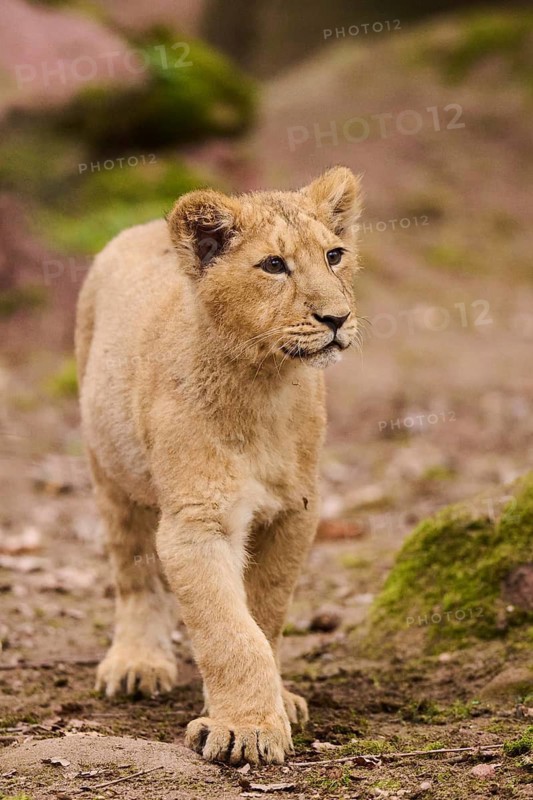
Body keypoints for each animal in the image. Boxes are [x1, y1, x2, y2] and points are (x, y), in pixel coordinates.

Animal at [75, 166, 362, 765]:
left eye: (335, 255)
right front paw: (245, 729)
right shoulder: (197, 520)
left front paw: (274, 704)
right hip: (107, 468)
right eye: (273, 265)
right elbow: (230, 631)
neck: (265, 384)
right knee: (132, 570)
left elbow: (265, 613)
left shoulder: (295, 511)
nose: (337, 317)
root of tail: (141, 226)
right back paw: (136, 664)